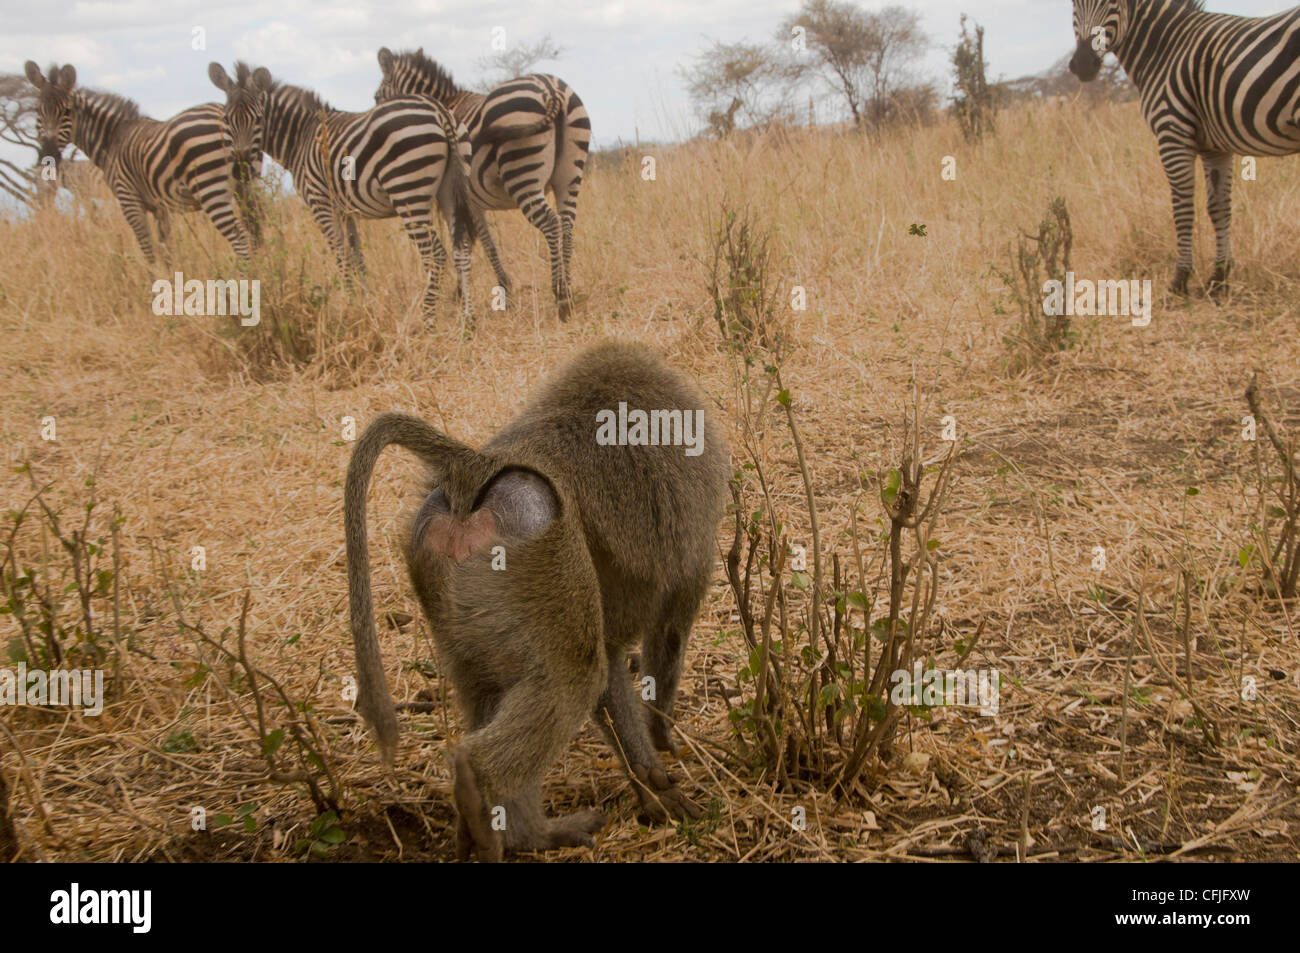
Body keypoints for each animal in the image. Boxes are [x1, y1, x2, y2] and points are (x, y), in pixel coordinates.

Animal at [24, 61, 253, 262]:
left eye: (67, 111)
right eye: (37, 110)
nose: (48, 155)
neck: (112, 139)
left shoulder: (129, 200)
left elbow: (148, 251)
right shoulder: (160, 208)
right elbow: (166, 251)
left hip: (210, 188)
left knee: (241, 239)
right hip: (243, 185)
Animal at [218, 66, 473, 321]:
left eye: (258, 119)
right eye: (226, 120)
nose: (240, 169)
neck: (301, 137)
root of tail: (439, 110)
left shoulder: (321, 202)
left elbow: (341, 256)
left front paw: (348, 306)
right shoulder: (346, 210)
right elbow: (356, 256)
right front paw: (364, 305)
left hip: (407, 191)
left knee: (435, 254)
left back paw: (428, 318)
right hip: (449, 191)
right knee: (461, 249)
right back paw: (468, 321)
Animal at [374, 48, 592, 319]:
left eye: (376, 97)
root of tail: (551, 88)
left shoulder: (460, 200)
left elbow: (475, 242)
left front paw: (498, 288)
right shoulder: (469, 202)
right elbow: (474, 241)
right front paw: (467, 291)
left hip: (522, 174)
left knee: (551, 224)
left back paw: (560, 296)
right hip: (570, 175)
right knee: (567, 225)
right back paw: (569, 290)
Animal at [1071, 0, 1300, 295]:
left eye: (1113, 4)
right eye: (1074, 4)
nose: (1083, 64)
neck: (1164, 50)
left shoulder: (1172, 132)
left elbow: (1182, 208)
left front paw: (1180, 280)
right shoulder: (1214, 147)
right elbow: (1218, 207)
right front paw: (1219, 278)